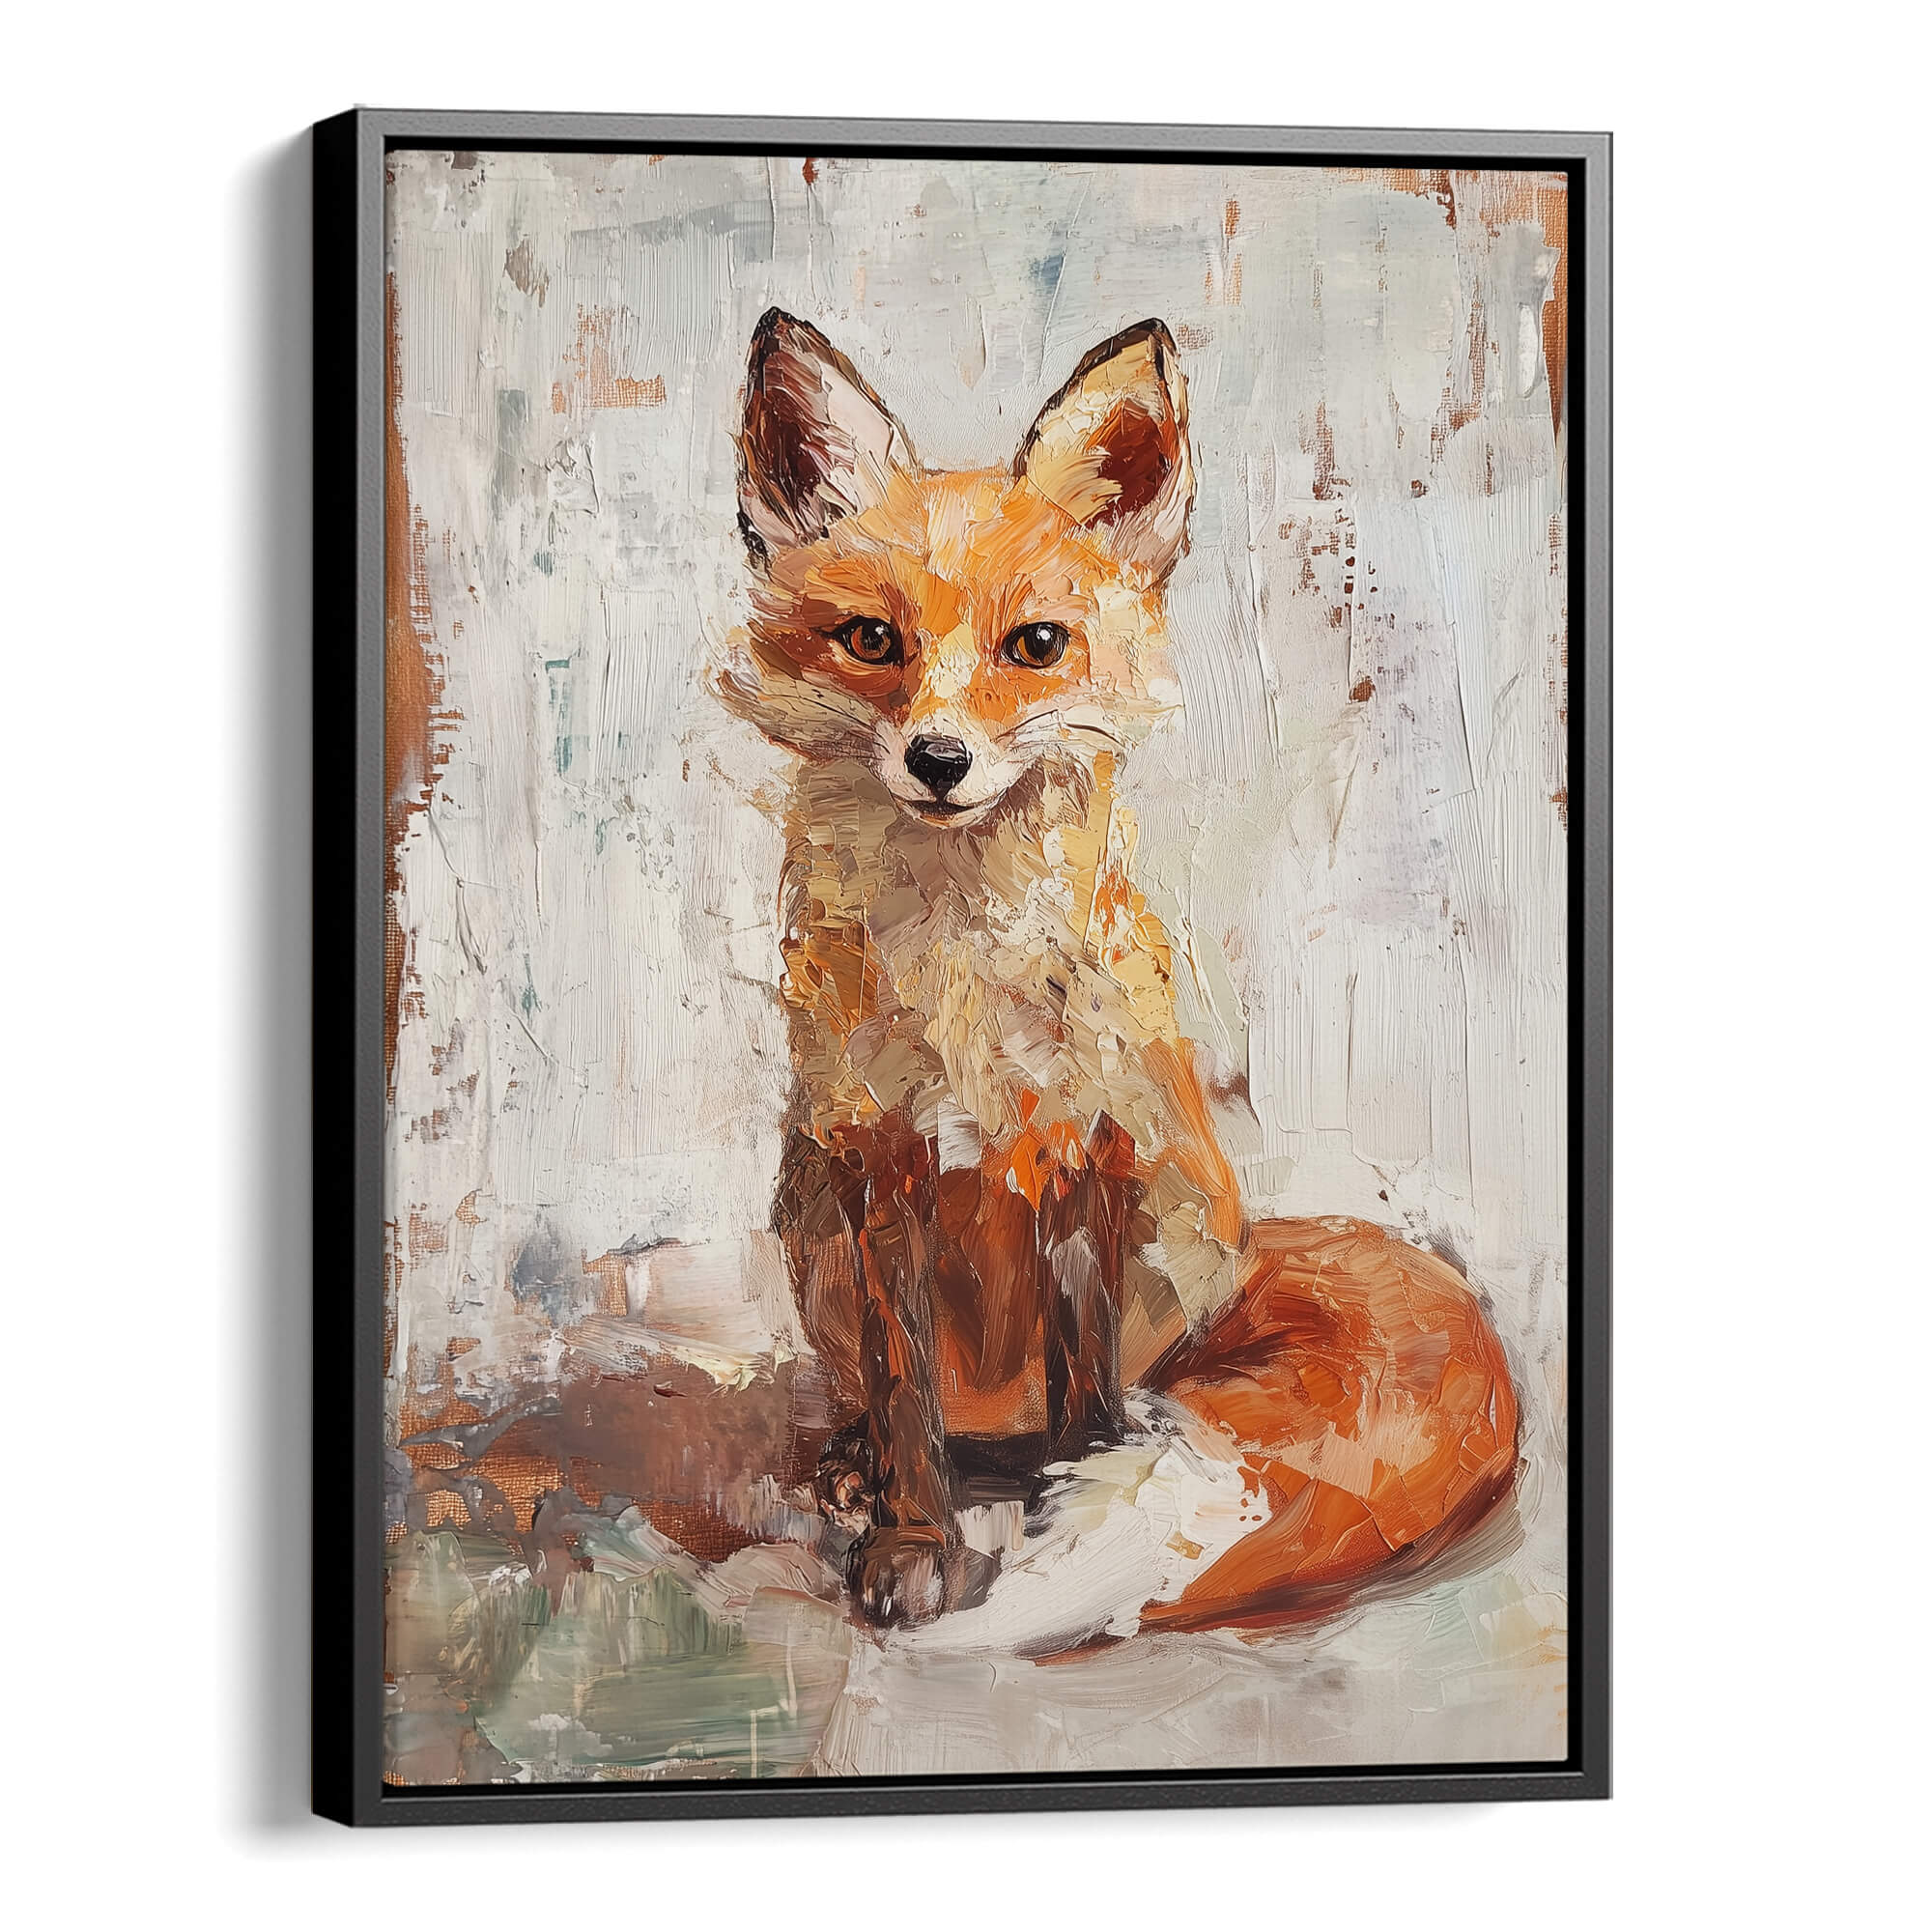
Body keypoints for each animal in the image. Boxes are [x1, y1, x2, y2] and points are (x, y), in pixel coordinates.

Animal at [715, 308, 1520, 1633]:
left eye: (1034, 644)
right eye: (871, 639)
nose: (938, 759)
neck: (967, 966)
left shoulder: (1088, 1139)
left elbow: (1081, 1374)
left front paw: (1070, 1491)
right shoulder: (878, 1153)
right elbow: (904, 1388)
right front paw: (910, 1536)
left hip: (1165, 1210)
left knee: (1101, 1387)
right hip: (807, 1207)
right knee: (893, 1405)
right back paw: (857, 1464)